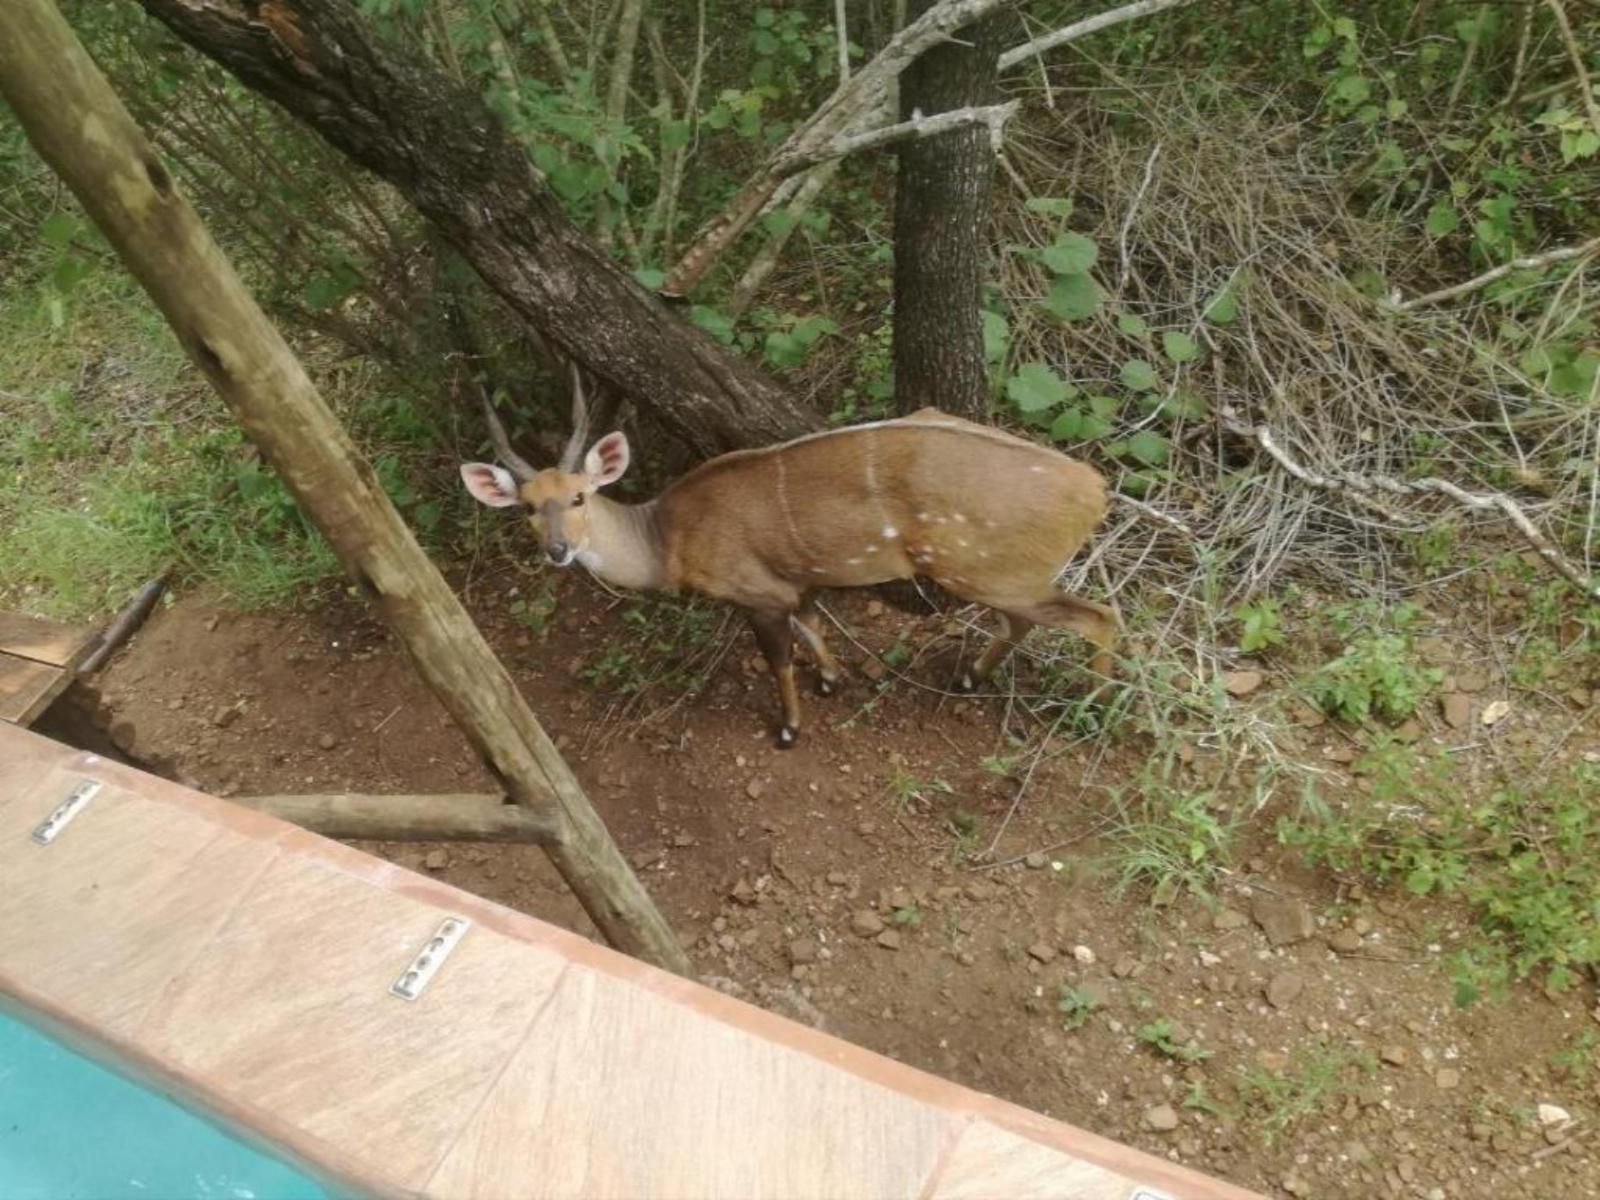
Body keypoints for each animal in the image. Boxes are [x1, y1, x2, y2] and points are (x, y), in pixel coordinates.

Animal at [464, 371, 1113, 748]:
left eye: (578, 496)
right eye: (527, 507)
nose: (558, 550)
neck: (668, 538)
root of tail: (1094, 489)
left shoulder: (757, 594)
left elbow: (779, 659)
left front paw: (788, 728)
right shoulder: (795, 584)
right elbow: (814, 624)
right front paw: (830, 680)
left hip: (982, 570)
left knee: (1099, 617)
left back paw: (1093, 707)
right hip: (995, 574)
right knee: (1031, 620)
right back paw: (972, 676)